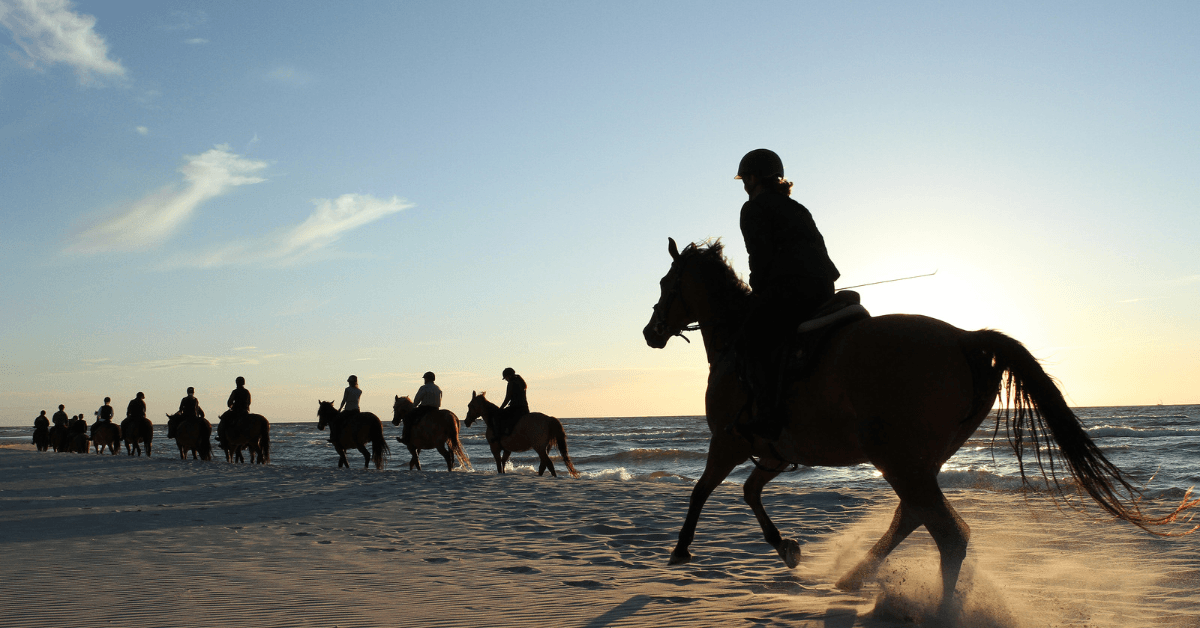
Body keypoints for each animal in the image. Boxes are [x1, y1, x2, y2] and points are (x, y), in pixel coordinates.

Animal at [644, 238, 1197, 605]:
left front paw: (681, 550)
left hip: (897, 457)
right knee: (916, 518)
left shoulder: (729, 442)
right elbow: (749, 492)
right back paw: (855, 577)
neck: (738, 342)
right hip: (917, 460)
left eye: (667, 284)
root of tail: (965, 337)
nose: (651, 331)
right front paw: (786, 548)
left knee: (946, 533)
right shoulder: (775, 453)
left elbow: (703, 491)